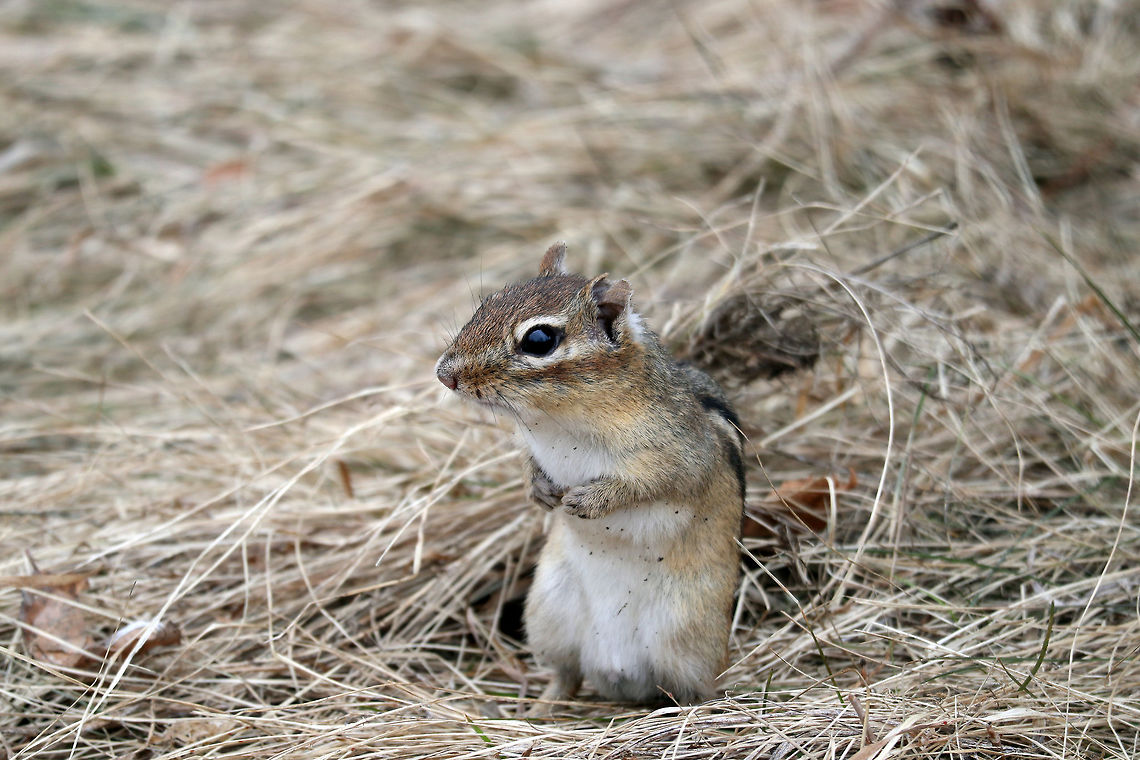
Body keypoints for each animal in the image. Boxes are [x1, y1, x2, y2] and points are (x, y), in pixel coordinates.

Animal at [435, 242, 745, 706]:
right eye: (486, 303)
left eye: (539, 340)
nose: (445, 374)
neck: (560, 424)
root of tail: (618, 672)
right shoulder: (536, 447)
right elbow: (530, 464)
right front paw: (540, 491)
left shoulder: (682, 456)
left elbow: (647, 483)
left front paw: (589, 500)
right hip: (548, 615)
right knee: (566, 675)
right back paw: (541, 707)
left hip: (687, 636)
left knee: (692, 691)